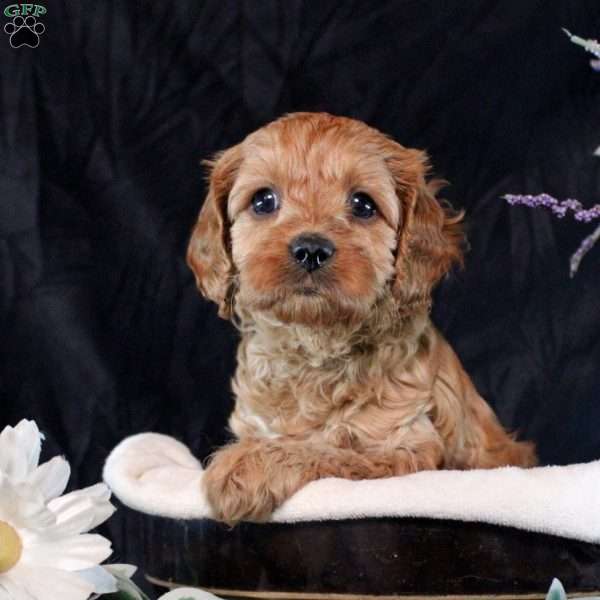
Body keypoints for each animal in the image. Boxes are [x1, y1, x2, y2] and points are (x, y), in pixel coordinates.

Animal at [185, 112, 536, 524]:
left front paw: (246, 467)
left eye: (363, 205)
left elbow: (330, 451)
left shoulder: (405, 448)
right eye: (263, 200)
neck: (315, 346)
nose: (311, 249)